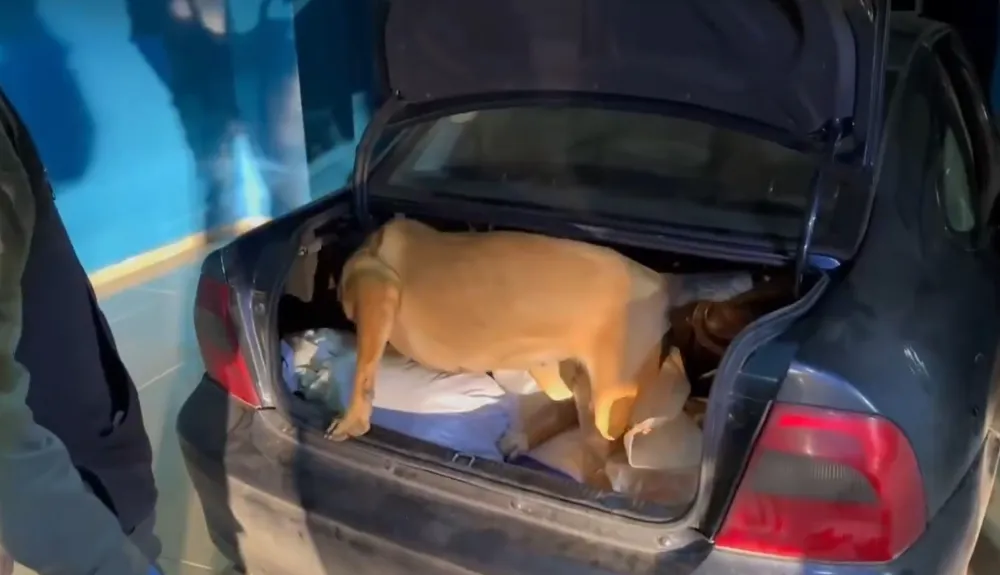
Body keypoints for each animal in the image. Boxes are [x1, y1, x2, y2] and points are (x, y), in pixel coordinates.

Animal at [329, 217, 748, 487]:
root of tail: (662, 280)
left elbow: (364, 367)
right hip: (563, 373)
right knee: (572, 410)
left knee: (611, 439)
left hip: (609, 400)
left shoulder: (376, 288)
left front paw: (353, 420)